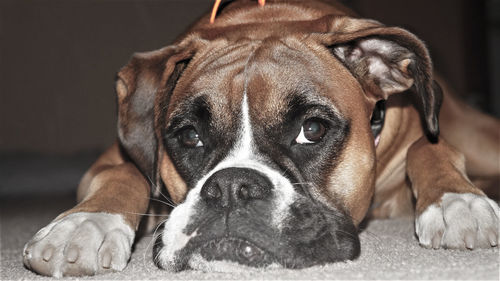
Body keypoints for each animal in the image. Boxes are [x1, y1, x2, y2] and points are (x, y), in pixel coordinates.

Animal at [21, 0, 498, 276]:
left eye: (312, 130)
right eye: (190, 136)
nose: (232, 187)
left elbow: (430, 149)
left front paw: (457, 201)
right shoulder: (111, 158)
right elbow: (124, 174)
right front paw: (85, 224)